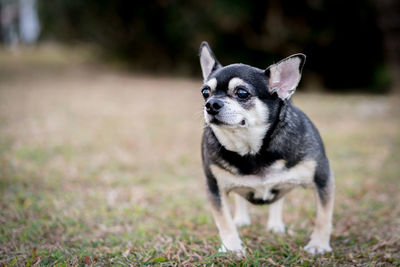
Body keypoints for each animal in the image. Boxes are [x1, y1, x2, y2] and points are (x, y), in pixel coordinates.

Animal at [200, 42, 334, 258]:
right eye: (205, 92)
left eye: (242, 93)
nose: (210, 104)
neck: (251, 149)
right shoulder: (214, 187)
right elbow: (224, 221)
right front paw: (232, 247)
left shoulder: (322, 179)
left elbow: (323, 216)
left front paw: (318, 245)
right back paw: (242, 219)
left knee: (278, 199)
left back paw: (275, 225)